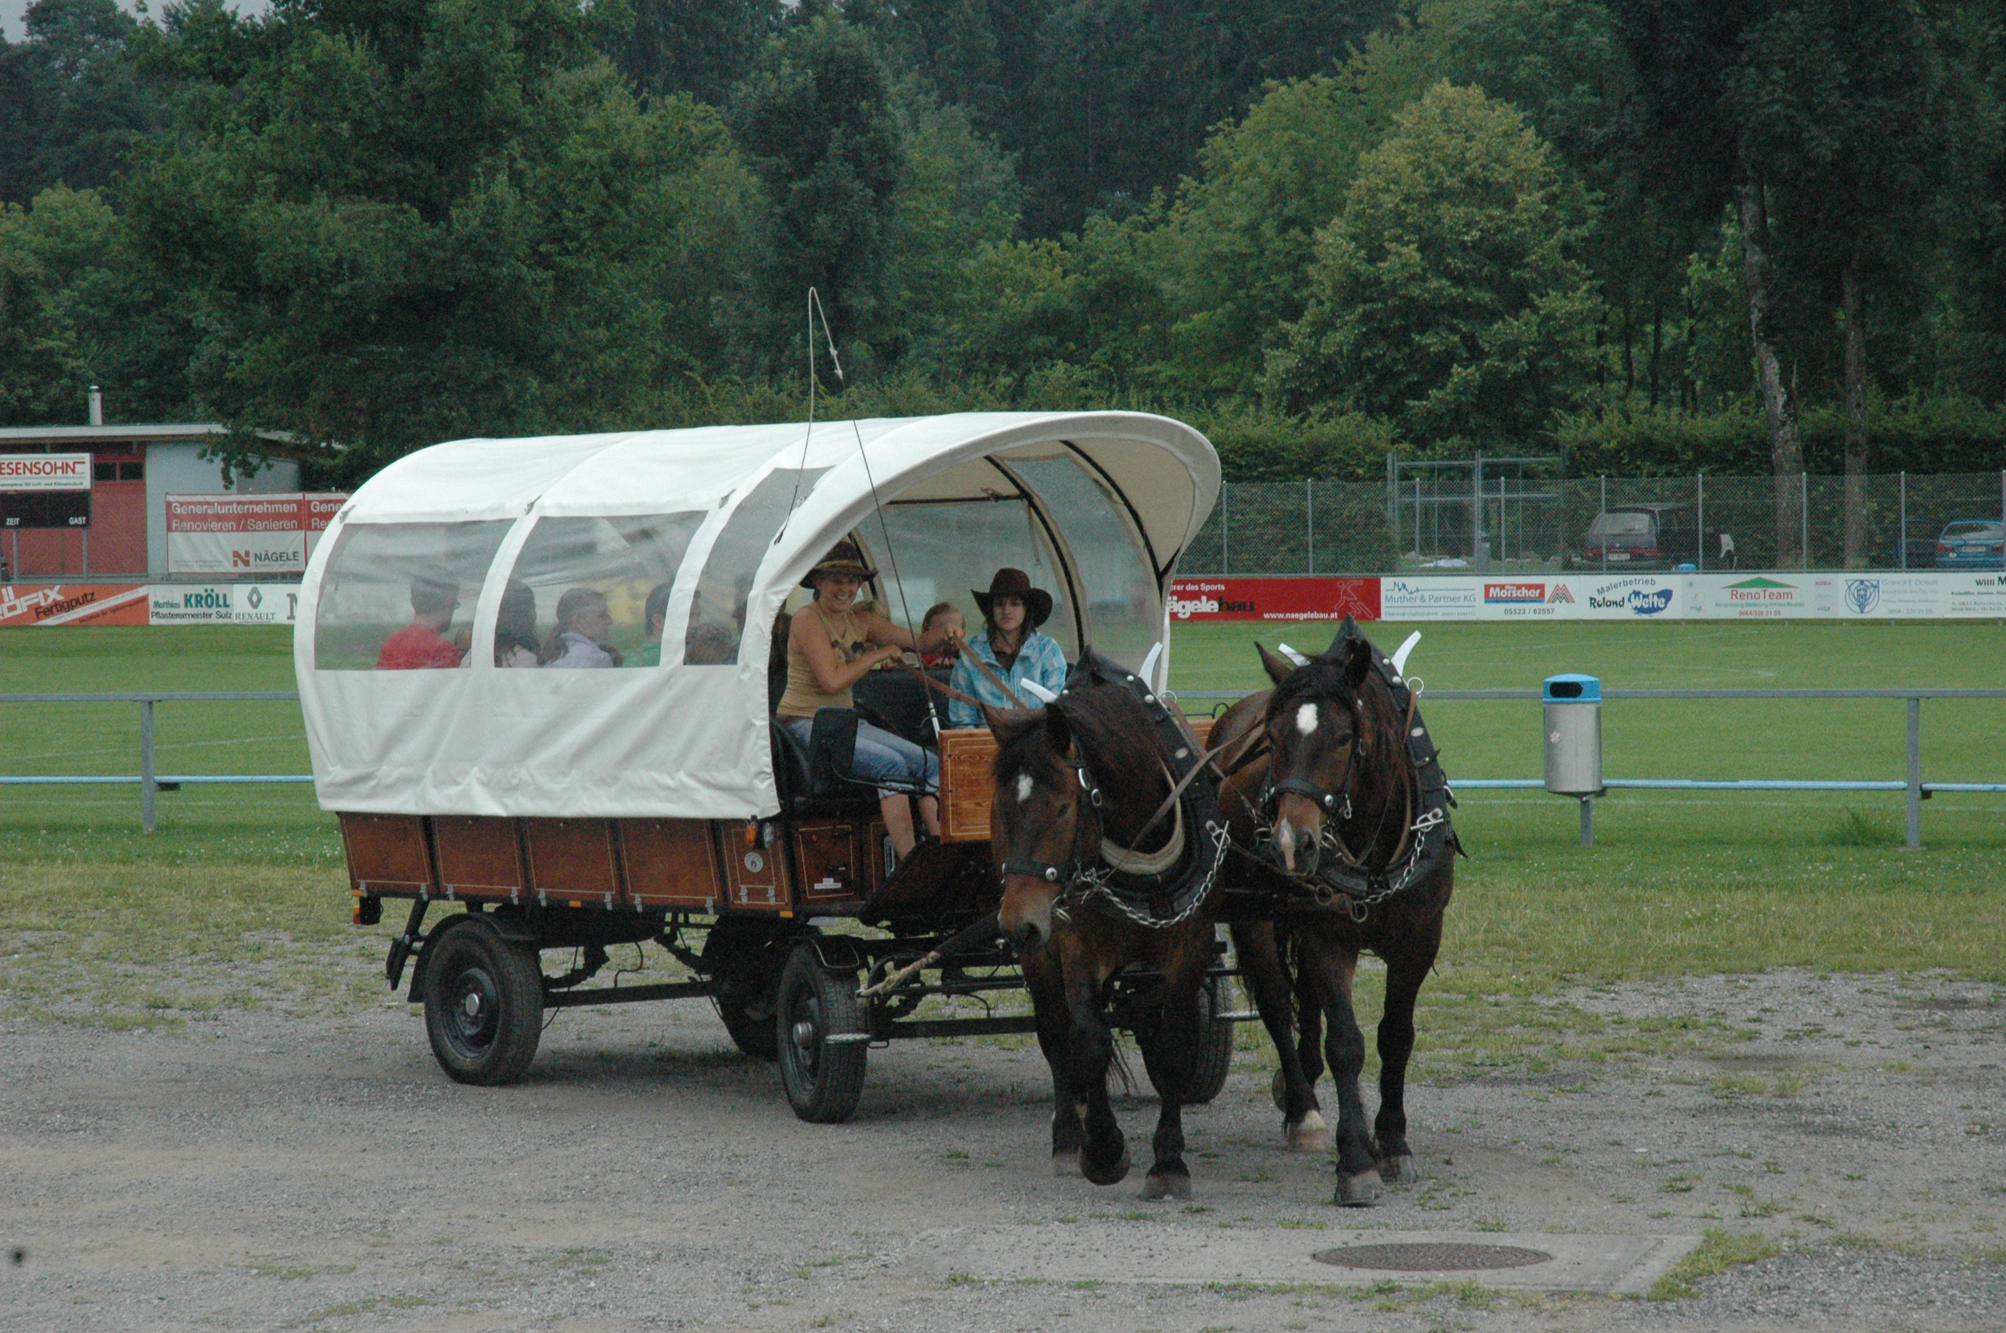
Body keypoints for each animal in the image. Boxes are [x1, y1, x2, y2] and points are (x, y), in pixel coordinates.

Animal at [984, 658, 1233, 1199]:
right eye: (998, 809)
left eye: (1061, 808)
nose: (1017, 924)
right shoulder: (1078, 944)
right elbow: (1088, 1039)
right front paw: (1102, 1148)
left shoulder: (1191, 945)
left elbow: (1174, 1047)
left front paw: (1168, 1161)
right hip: (1041, 952)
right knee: (1056, 1034)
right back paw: (1066, 1135)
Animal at [1208, 620, 1459, 1205]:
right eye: (1273, 740)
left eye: (1345, 738)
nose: (1290, 844)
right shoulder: (1328, 937)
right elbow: (1346, 1042)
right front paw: (1355, 1161)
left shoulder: (1420, 938)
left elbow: (1396, 1036)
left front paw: (1391, 1141)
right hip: (1255, 917)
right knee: (1278, 1003)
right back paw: (1302, 1107)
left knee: (1305, 1000)